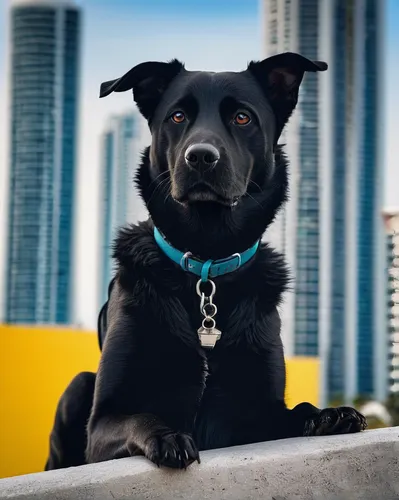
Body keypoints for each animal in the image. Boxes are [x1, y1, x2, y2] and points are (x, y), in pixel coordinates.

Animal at [45, 52, 368, 470]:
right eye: (178, 116)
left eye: (243, 118)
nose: (200, 156)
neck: (207, 263)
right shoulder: (102, 427)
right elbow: (141, 416)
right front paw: (167, 435)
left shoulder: (255, 414)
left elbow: (294, 410)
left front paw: (326, 414)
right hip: (77, 386)